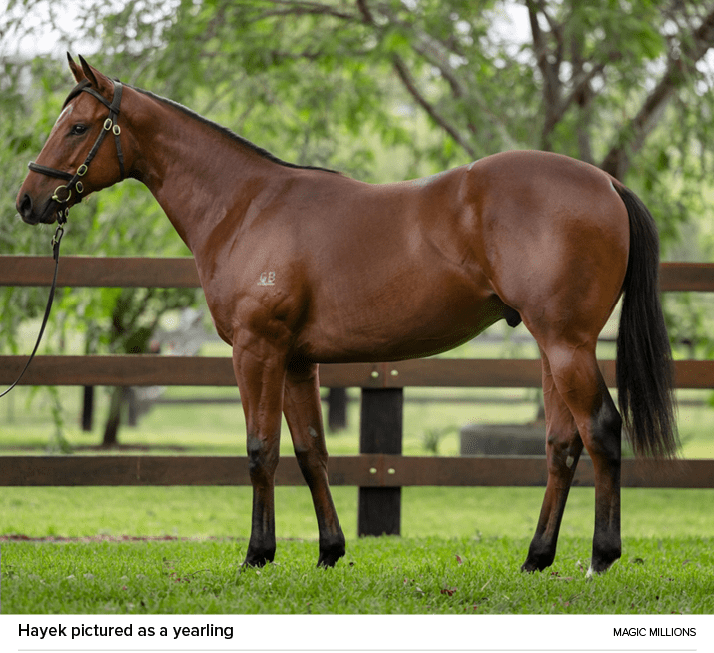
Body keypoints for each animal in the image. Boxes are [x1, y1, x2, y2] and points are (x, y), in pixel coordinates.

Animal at [15, 57, 672, 576]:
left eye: (77, 127)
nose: (27, 201)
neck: (245, 206)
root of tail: (607, 183)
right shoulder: (297, 361)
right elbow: (311, 453)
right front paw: (329, 551)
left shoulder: (256, 350)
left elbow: (260, 450)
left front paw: (258, 554)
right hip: (553, 347)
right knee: (563, 444)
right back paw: (537, 558)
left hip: (566, 344)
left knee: (601, 430)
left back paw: (600, 558)